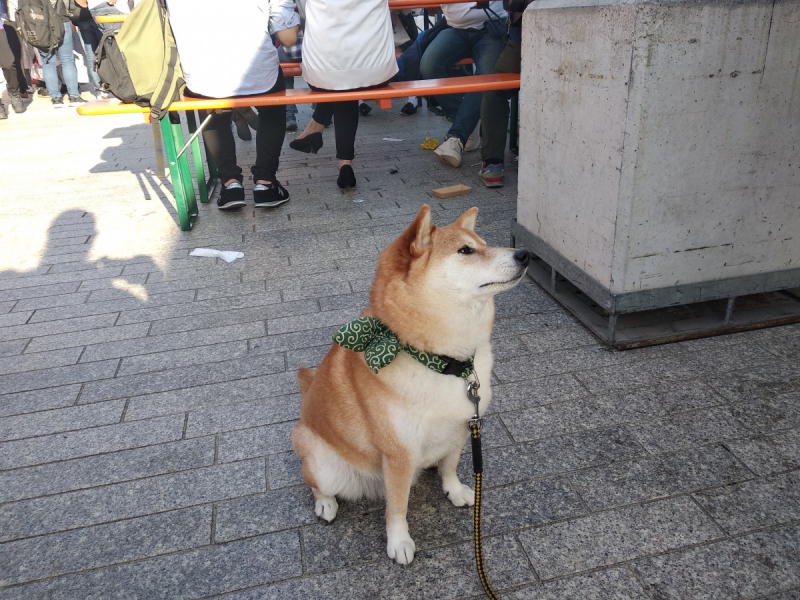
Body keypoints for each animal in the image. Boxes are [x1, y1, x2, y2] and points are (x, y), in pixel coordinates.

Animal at [290, 204, 528, 564]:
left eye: (484, 244)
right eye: (466, 251)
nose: (525, 254)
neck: (441, 362)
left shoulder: (463, 424)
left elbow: (451, 465)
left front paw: (454, 490)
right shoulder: (399, 454)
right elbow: (398, 507)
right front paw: (399, 542)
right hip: (324, 464)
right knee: (317, 485)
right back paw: (326, 504)